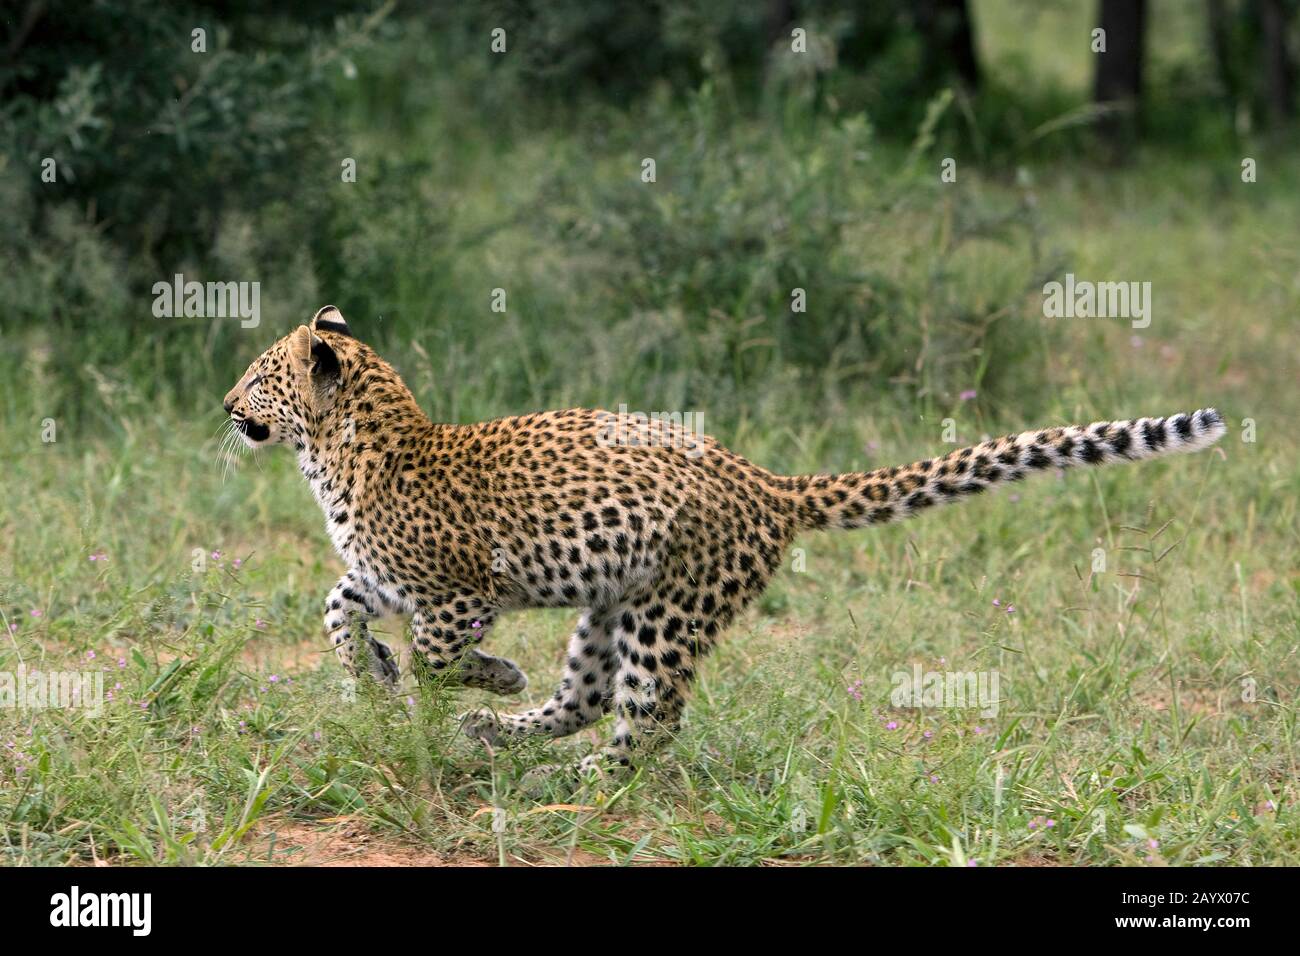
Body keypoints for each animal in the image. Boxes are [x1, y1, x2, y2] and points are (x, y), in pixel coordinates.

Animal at [226, 306, 1227, 780]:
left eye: (257, 376)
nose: (226, 405)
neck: (339, 454)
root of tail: (767, 480)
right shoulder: (387, 582)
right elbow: (337, 606)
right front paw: (376, 673)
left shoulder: (457, 596)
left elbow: (436, 662)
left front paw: (455, 690)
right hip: (614, 606)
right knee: (589, 697)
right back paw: (508, 732)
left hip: (667, 615)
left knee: (648, 720)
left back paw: (581, 776)